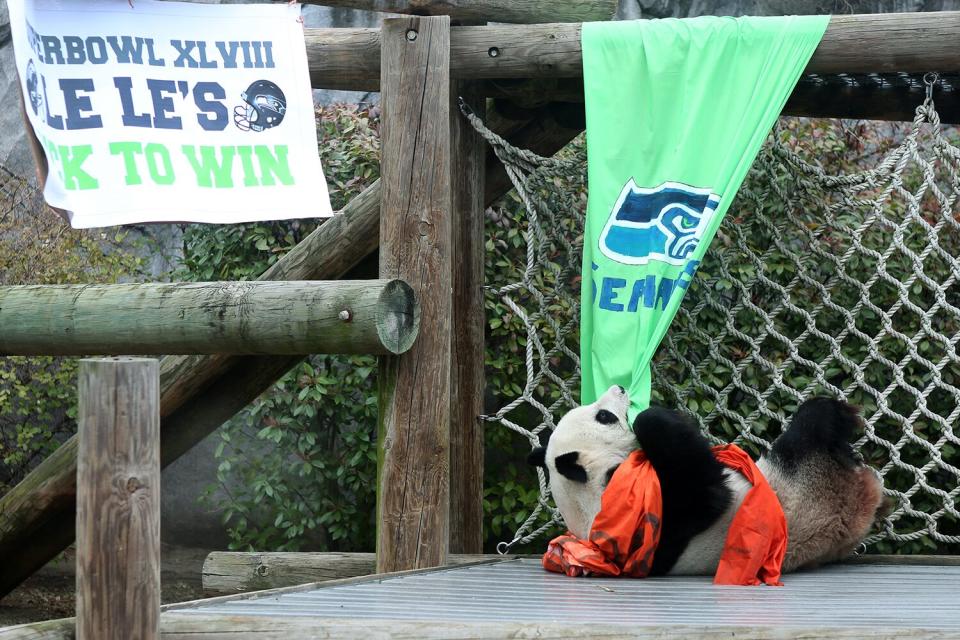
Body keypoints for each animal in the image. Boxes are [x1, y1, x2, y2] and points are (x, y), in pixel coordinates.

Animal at [524, 384, 884, 576]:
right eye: (604, 416)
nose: (620, 388)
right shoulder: (651, 514)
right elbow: (708, 494)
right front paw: (651, 418)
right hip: (806, 479)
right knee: (811, 427)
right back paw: (841, 420)